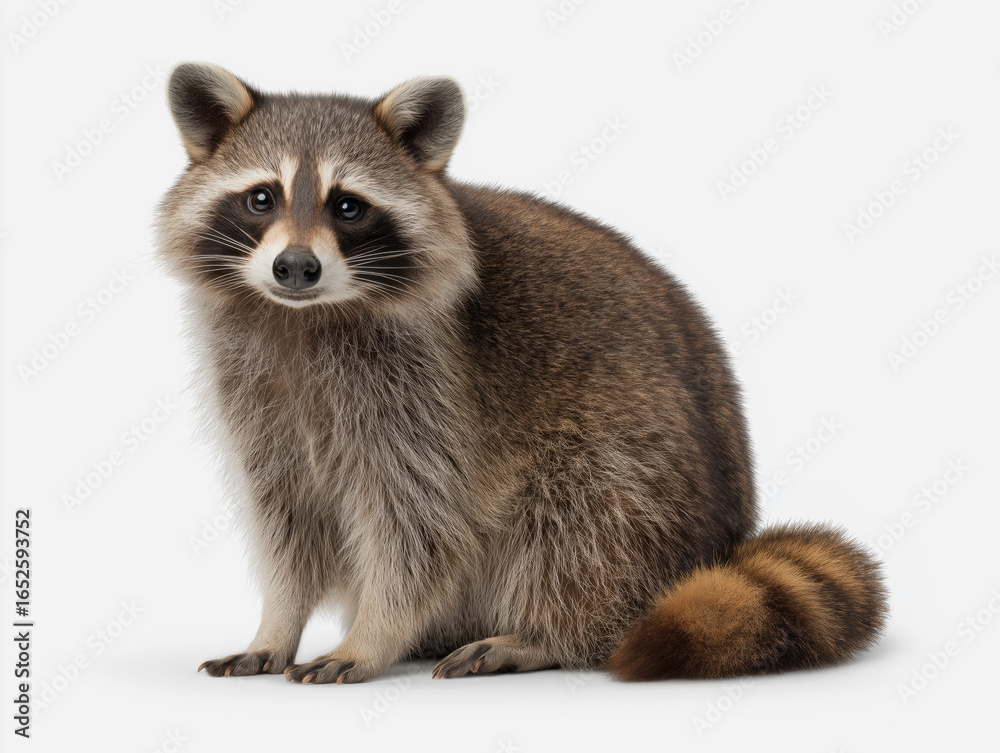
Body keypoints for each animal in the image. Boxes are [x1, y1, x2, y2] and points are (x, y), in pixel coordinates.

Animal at [157, 63, 887, 684]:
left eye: (347, 206)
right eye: (261, 198)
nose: (296, 267)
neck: (304, 316)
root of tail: (725, 538)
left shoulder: (427, 388)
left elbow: (419, 524)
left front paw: (373, 633)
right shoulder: (257, 391)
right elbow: (288, 519)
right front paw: (277, 623)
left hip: (636, 458)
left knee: (583, 526)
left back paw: (542, 634)